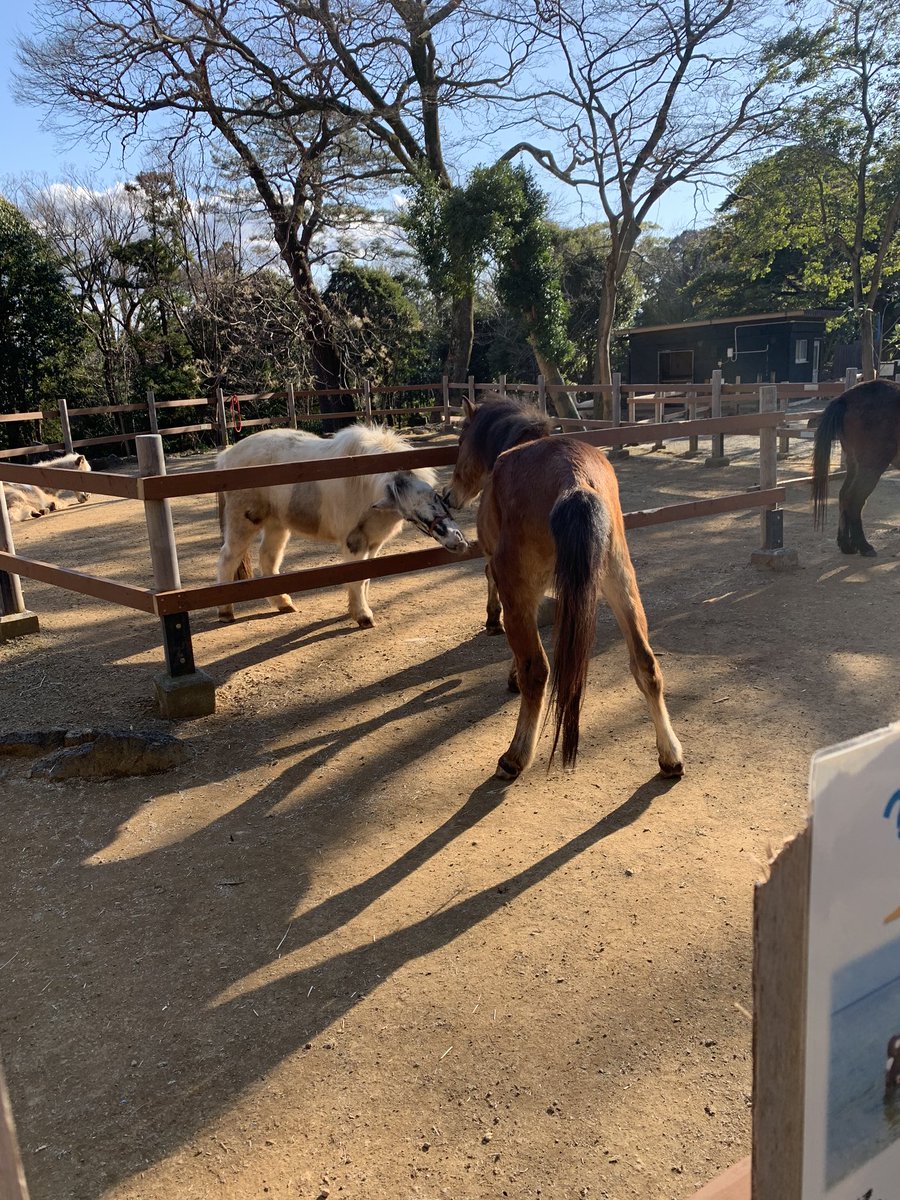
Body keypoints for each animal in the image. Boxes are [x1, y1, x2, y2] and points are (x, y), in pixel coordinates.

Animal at [213, 424, 465, 628]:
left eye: (435, 496)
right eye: (415, 513)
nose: (458, 540)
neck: (365, 486)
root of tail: (225, 457)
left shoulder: (373, 542)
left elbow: (366, 577)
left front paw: (356, 609)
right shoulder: (354, 541)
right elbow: (357, 577)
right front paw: (364, 617)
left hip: (277, 524)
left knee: (268, 557)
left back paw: (283, 603)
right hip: (243, 522)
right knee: (229, 557)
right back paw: (226, 613)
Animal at [444, 398, 681, 782]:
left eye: (462, 441)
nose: (448, 496)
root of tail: (575, 480)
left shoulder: (509, 583)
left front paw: (499, 640)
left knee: (538, 670)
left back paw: (514, 757)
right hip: (620, 583)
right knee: (646, 664)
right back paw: (671, 756)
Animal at [816, 376, 900, 554]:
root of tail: (846, 398)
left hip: (854, 464)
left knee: (843, 496)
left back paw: (846, 544)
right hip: (871, 466)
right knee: (854, 499)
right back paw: (863, 545)